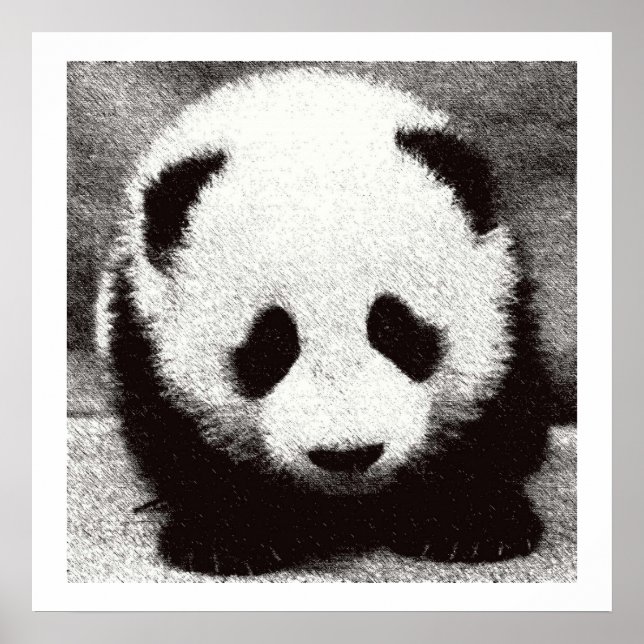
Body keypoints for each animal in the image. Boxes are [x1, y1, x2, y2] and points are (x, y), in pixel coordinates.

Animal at [96, 68, 549, 576]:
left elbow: (499, 413)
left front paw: (469, 521)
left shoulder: (506, 307)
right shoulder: (139, 326)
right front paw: (232, 533)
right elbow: (177, 436)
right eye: (271, 345)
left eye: (395, 330)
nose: (348, 455)